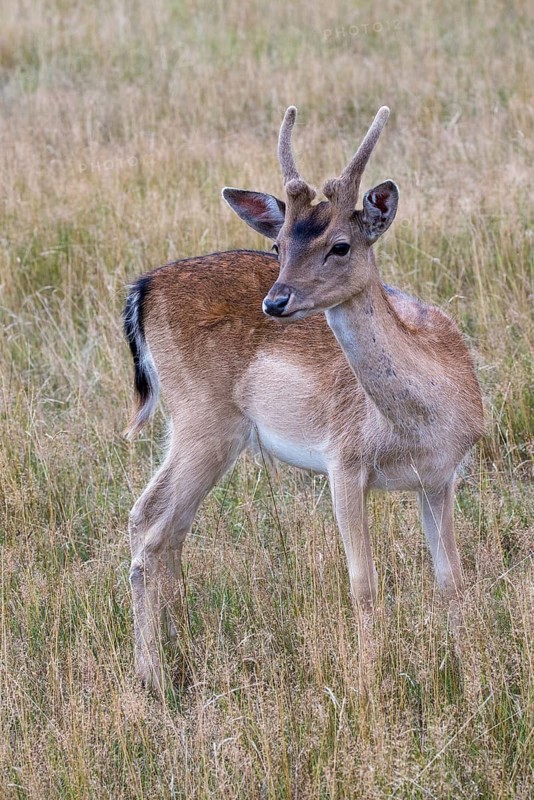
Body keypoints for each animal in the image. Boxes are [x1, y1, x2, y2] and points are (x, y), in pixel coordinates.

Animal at [123, 105, 484, 691]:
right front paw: (369, 680)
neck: (421, 423)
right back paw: (152, 675)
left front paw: (468, 671)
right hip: (202, 419)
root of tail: (142, 288)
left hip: (199, 431)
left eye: (341, 244)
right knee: (148, 521)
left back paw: (182, 651)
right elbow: (364, 584)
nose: (276, 300)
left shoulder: (441, 477)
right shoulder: (344, 460)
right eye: (279, 246)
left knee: (170, 526)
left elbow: (451, 577)